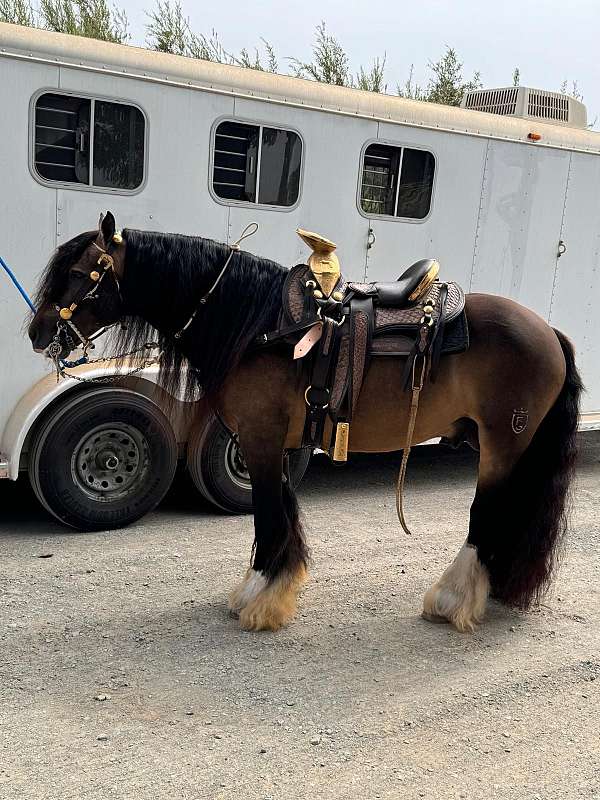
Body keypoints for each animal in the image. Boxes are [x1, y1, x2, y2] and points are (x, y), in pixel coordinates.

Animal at [27, 211, 580, 632]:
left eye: (80, 272)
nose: (37, 332)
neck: (259, 326)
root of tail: (549, 332)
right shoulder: (275, 443)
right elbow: (278, 513)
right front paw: (264, 588)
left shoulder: (261, 440)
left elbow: (269, 515)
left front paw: (261, 599)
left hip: (503, 444)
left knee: (487, 514)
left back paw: (453, 600)